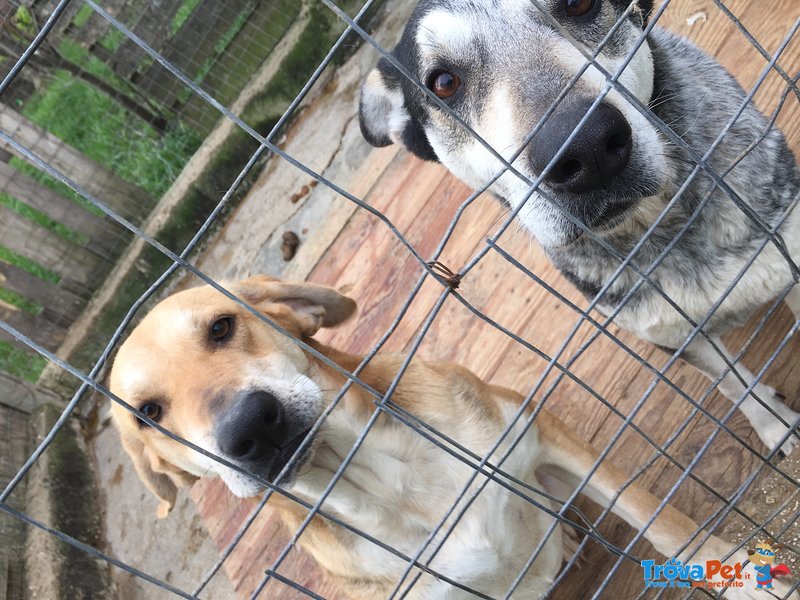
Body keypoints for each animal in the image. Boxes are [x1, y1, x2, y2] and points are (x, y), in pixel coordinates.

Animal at [109, 278, 796, 600]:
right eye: (147, 413)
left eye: (222, 327)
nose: (249, 429)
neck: (395, 480)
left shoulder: (545, 439)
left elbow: (667, 524)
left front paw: (740, 571)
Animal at [360, 0, 800, 450]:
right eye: (444, 83)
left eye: (578, 4)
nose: (586, 147)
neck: (662, 227)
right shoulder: (674, 335)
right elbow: (731, 382)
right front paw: (773, 425)